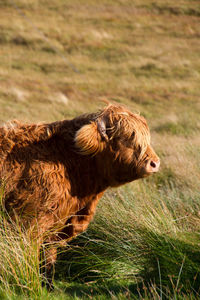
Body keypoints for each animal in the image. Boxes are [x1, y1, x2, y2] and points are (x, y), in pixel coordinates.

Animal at [0, 103, 159, 288]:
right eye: (126, 138)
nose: (155, 163)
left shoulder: (56, 226)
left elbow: (48, 258)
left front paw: (48, 285)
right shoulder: (27, 222)